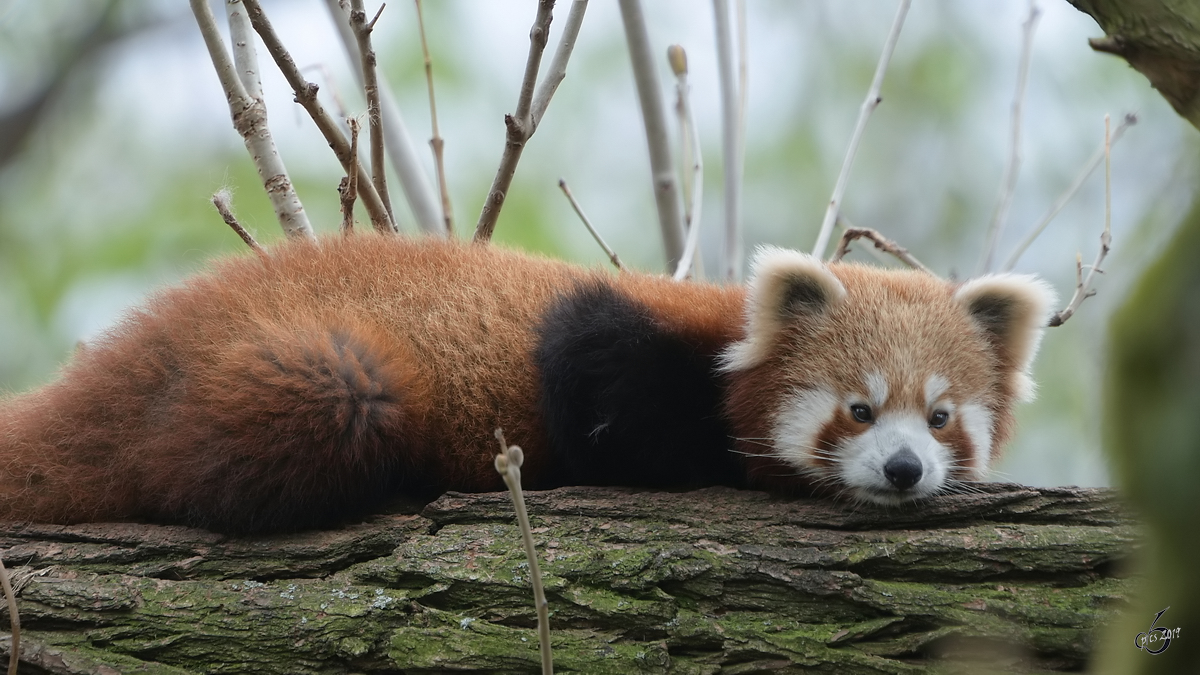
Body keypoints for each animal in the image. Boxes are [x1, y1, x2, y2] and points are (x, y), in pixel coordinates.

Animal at [0, 234, 1051, 533]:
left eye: (942, 417)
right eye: (860, 410)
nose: (905, 469)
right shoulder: (613, 338)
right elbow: (605, 409)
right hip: (319, 368)